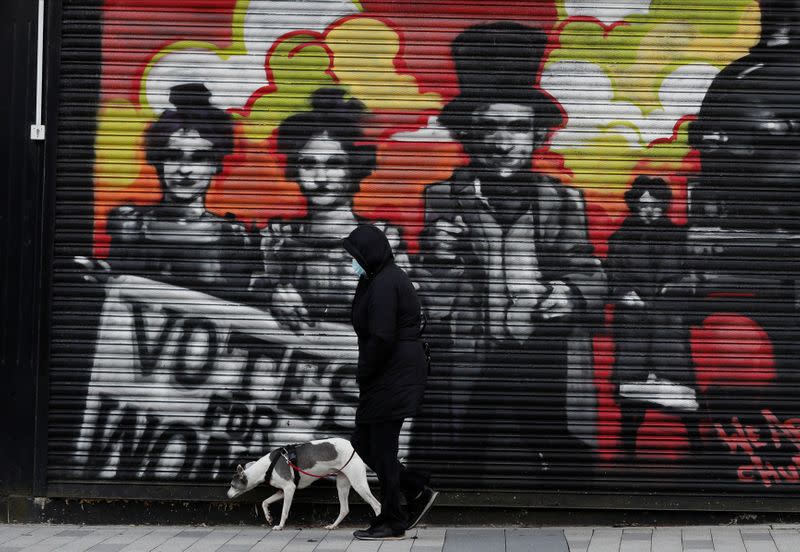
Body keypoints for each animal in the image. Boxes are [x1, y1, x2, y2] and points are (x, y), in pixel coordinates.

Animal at [225, 436, 382, 532]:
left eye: (232, 485)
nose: (227, 495)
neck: (267, 467)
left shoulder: (289, 488)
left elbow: (284, 511)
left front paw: (280, 526)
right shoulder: (282, 491)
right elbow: (265, 502)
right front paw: (268, 517)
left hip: (358, 483)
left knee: (376, 505)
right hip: (342, 483)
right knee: (344, 509)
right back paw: (332, 526)